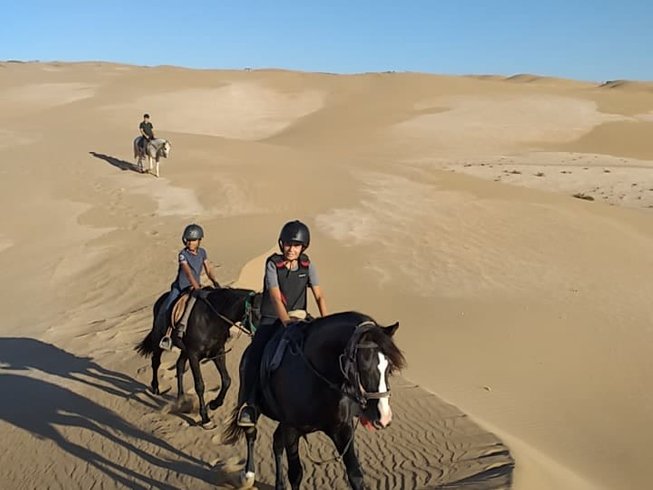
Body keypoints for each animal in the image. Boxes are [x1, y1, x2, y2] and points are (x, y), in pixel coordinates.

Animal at [227, 312, 404, 488]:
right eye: (363, 365)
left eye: (389, 367)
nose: (384, 417)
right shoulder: (291, 429)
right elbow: (296, 474)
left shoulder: (341, 429)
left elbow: (355, 475)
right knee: (251, 433)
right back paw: (248, 475)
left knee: (276, 442)